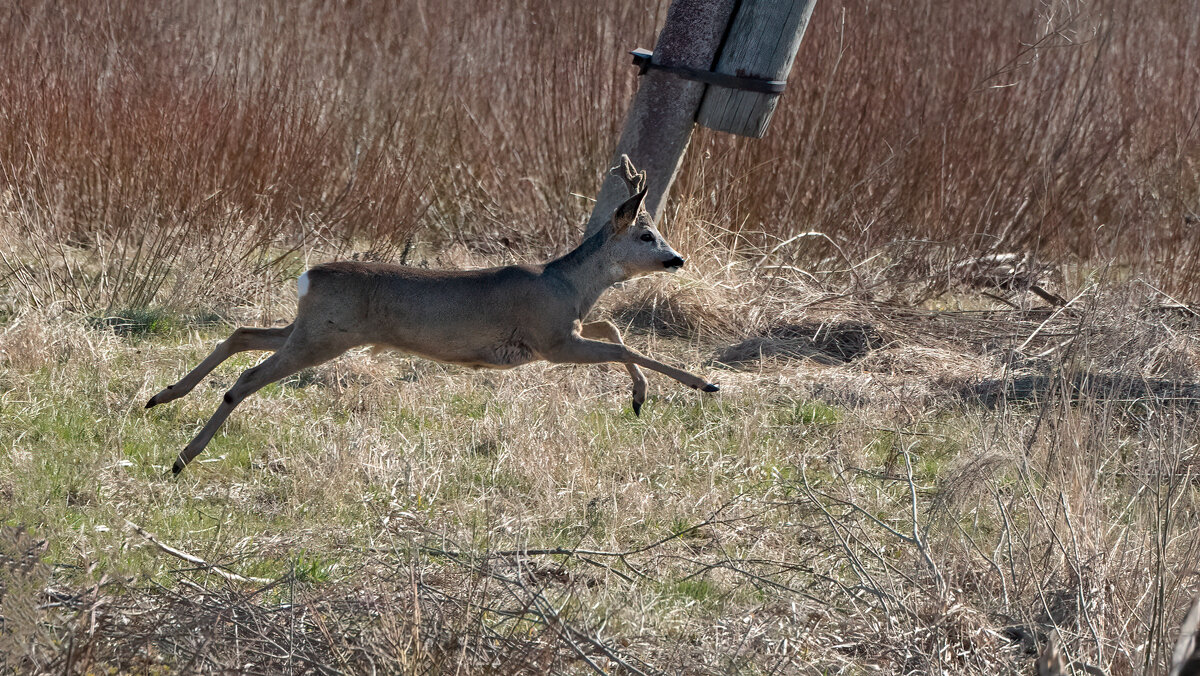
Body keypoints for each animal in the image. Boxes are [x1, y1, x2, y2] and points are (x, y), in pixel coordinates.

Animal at [145, 157, 715, 475]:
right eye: (647, 235)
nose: (677, 259)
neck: (570, 287)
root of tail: (310, 275)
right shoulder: (550, 339)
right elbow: (620, 341)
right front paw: (697, 385)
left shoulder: (566, 331)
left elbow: (612, 327)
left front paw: (642, 396)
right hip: (325, 335)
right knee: (245, 377)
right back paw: (182, 459)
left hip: (311, 327)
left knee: (241, 332)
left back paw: (161, 397)